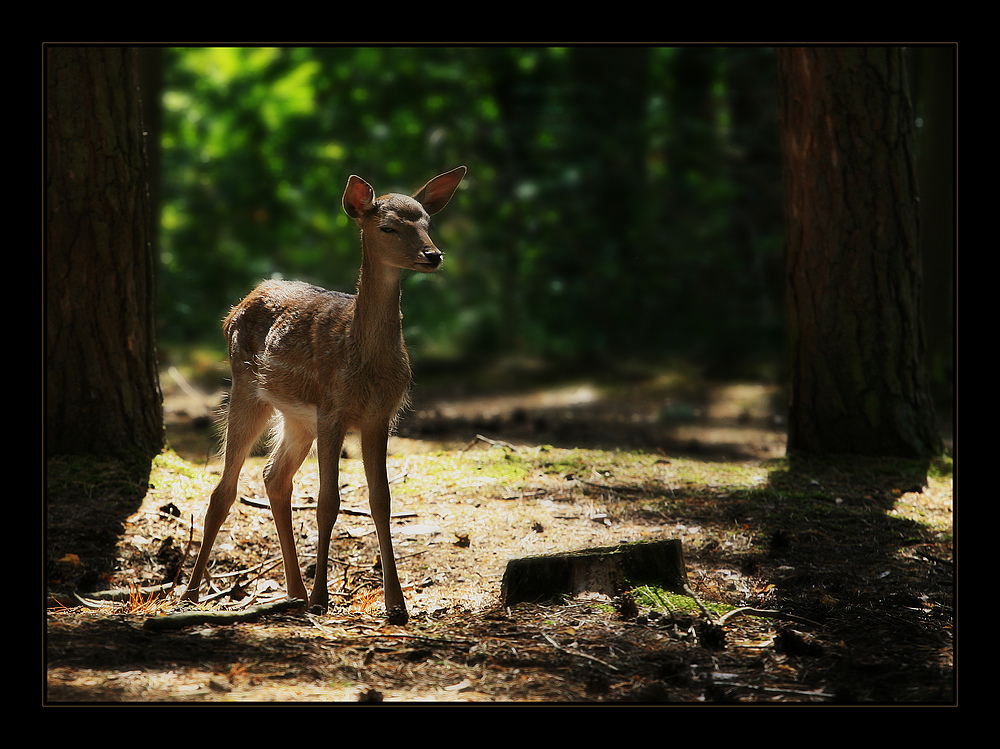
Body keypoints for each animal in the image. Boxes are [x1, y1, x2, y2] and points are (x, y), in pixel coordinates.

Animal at [182, 167, 466, 624]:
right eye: (387, 227)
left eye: (427, 222)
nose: (433, 255)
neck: (363, 357)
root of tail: (237, 306)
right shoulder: (334, 410)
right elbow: (328, 501)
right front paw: (322, 598)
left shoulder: (379, 416)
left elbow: (381, 500)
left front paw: (397, 605)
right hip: (248, 390)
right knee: (223, 489)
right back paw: (193, 592)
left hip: (298, 418)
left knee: (274, 476)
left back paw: (294, 592)